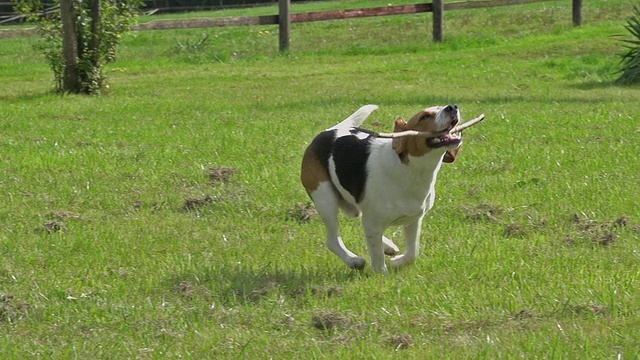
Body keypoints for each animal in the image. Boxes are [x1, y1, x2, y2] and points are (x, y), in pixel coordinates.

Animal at [300, 104, 460, 272]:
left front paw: (397, 262)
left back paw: (388, 246)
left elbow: (412, 254)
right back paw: (354, 260)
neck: (409, 170)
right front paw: (382, 274)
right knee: (333, 240)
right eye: (424, 117)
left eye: (440, 107)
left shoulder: (414, 219)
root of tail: (328, 131)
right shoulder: (373, 222)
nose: (452, 107)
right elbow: (378, 259)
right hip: (325, 200)